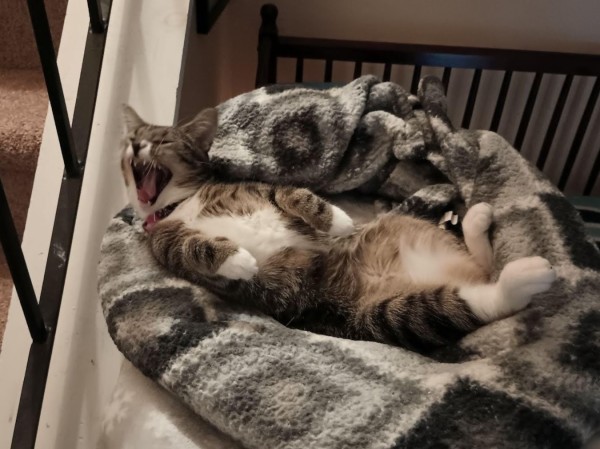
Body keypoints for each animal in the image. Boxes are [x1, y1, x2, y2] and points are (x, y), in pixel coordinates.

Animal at [119, 106, 556, 354]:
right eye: (132, 139)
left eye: (161, 140)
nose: (135, 146)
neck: (182, 204)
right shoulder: (163, 243)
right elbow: (190, 246)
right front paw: (237, 260)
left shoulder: (259, 188)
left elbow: (297, 195)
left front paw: (338, 221)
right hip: (376, 317)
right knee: (472, 300)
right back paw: (521, 274)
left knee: (479, 273)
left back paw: (478, 220)